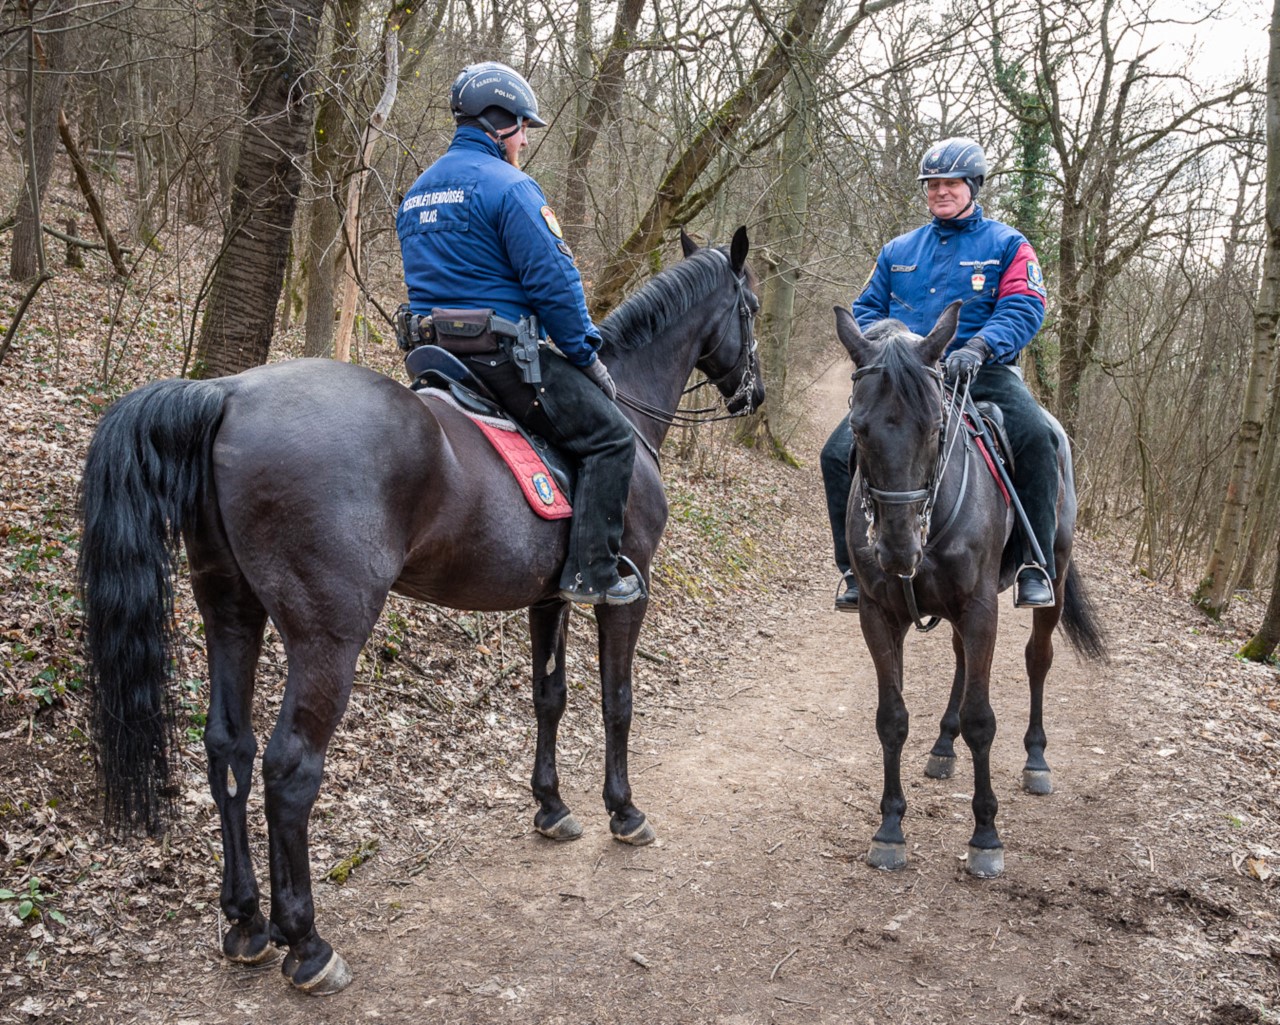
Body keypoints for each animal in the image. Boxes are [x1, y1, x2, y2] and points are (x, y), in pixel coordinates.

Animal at [80, 226, 762, 993]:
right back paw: (305, 942)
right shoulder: (626, 593)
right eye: (751, 307)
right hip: (328, 636)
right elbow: (617, 702)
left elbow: (549, 698)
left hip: (230, 611)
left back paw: (247, 920)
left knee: (230, 749)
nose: (755, 393)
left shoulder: (550, 598)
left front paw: (552, 806)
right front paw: (624, 809)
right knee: (290, 770)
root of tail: (223, 393)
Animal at [834, 299, 1105, 875]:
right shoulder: (878, 615)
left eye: (937, 427)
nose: (897, 550)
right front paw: (890, 829)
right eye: (859, 429)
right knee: (961, 658)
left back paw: (1036, 758)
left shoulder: (981, 608)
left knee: (1037, 659)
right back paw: (943, 745)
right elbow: (891, 718)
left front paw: (986, 836)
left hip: (1052, 576)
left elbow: (983, 720)